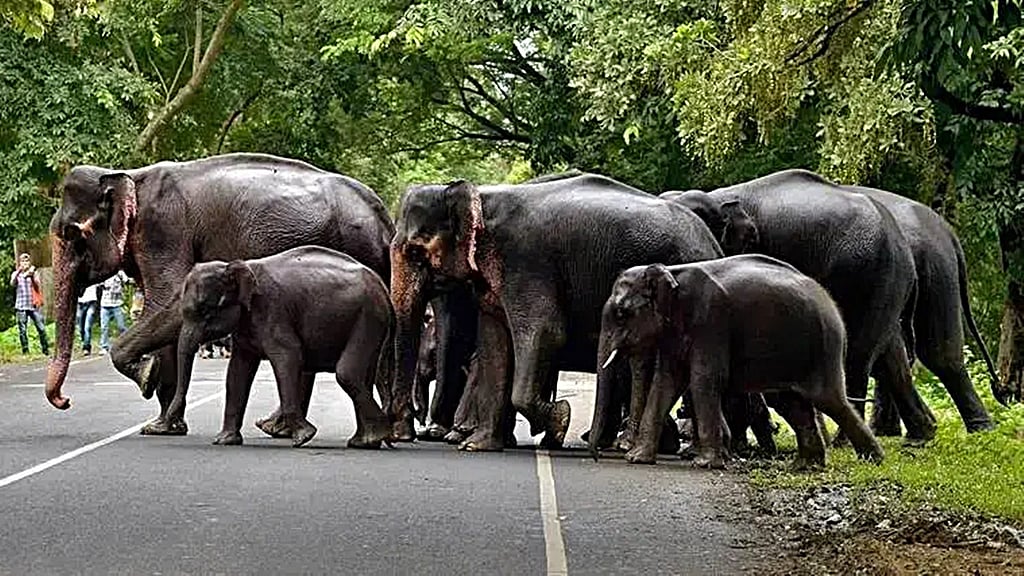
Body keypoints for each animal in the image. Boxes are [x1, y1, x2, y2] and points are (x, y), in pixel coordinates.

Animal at [173, 246, 394, 448]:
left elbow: (288, 357)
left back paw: (378, 435)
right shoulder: (246, 324)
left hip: (368, 317)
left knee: (347, 373)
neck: (236, 266)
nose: (177, 425)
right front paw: (224, 441)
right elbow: (237, 371)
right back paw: (365, 442)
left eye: (204, 310)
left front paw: (304, 438)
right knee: (364, 376)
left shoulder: (272, 310)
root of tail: (384, 289)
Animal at [389, 172, 724, 451]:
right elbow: (494, 344)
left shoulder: (527, 263)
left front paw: (561, 419)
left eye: (415, 251)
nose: (402, 435)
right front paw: (477, 446)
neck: (481, 195)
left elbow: (546, 332)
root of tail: (712, 243)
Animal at [592, 257, 885, 469]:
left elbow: (704, 380)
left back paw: (873, 460)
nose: (596, 456)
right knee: (792, 403)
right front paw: (637, 459)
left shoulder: (711, 321)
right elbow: (666, 382)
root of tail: (830, 303)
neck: (672, 272)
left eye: (622, 313)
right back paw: (804, 466)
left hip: (822, 346)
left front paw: (705, 464)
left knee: (828, 399)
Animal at [665, 169, 937, 443]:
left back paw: (842, 441)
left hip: (868, 278)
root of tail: (904, 250)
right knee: (892, 353)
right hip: (887, 286)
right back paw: (922, 434)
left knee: (858, 356)